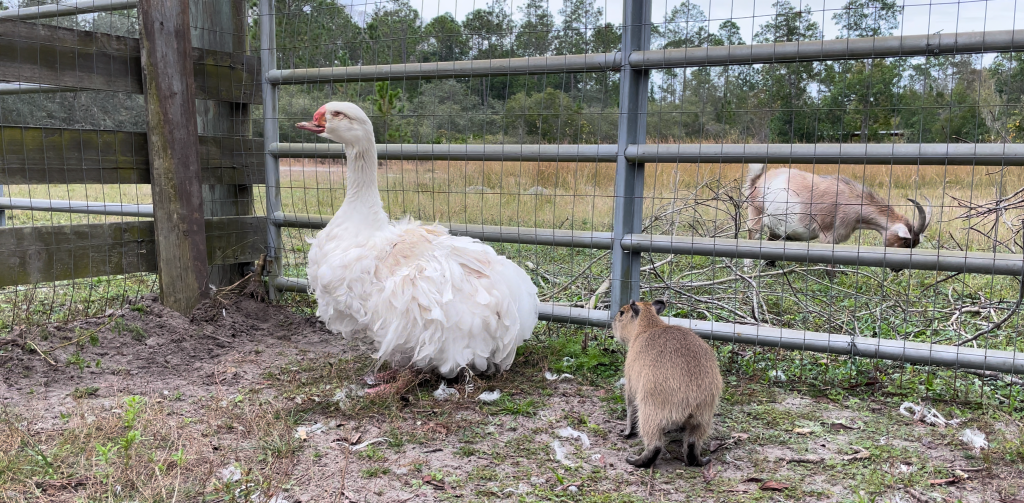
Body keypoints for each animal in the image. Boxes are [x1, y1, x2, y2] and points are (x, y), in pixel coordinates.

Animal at [741, 163, 933, 270]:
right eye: (905, 242)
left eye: (915, 245)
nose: (897, 270)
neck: (851, 202)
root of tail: (757, 181)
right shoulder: (827, 236)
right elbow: (830, 270)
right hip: (756, 215)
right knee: (752, 237)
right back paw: (748, 269)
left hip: (776, 227)